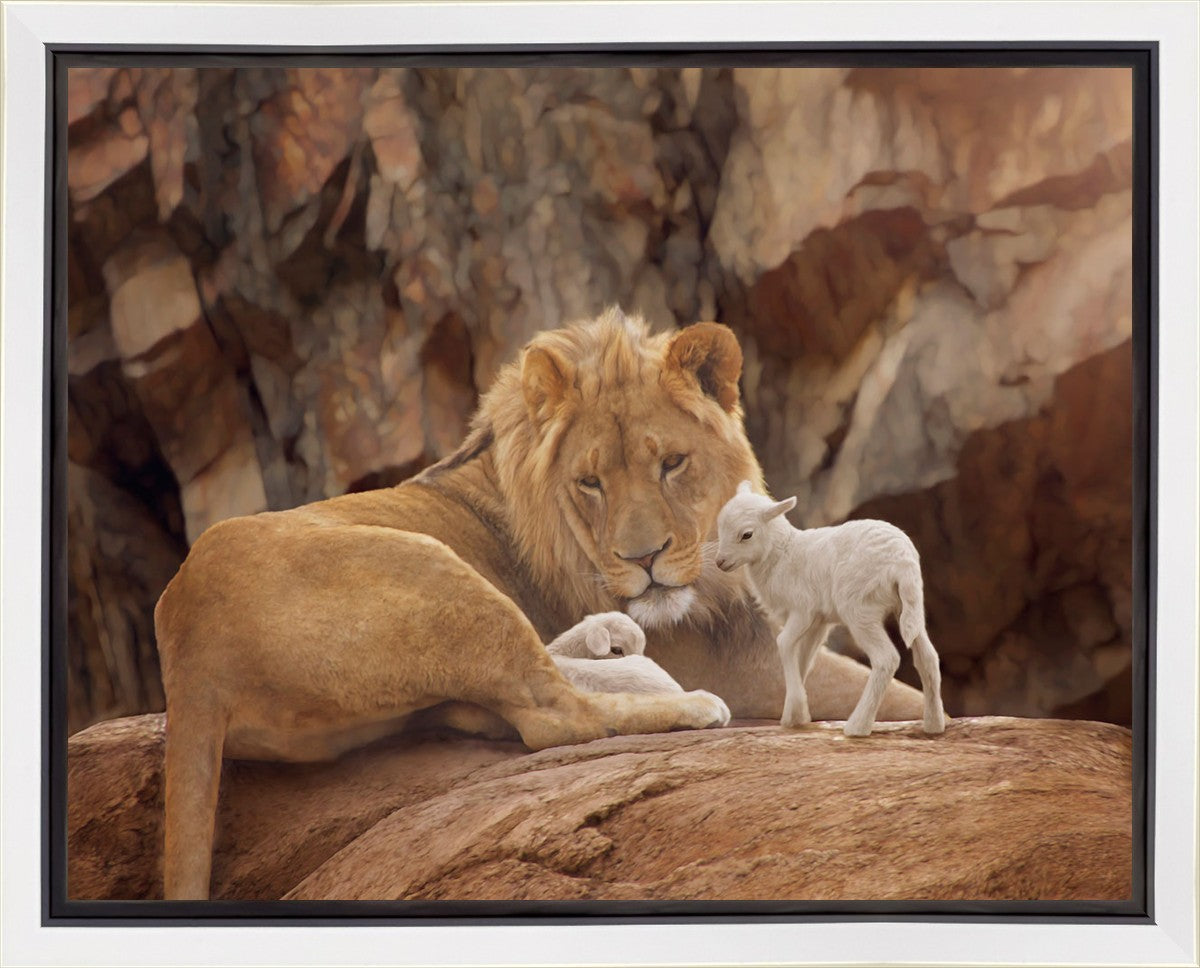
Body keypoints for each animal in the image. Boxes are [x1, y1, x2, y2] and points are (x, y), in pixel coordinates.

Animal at [715, 481, 946, 737]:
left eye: (746, 534)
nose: (720, 562)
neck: (782, 554)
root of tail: (902, 562)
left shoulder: (803, 609)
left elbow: (784, 643)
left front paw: (796, 711)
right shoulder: (818, 621)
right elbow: (804, 659)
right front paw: (795, 715)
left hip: (859, 608)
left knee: (886, 659)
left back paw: (857, 726)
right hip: (909, 606)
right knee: (928, 657)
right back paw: (934, 725)